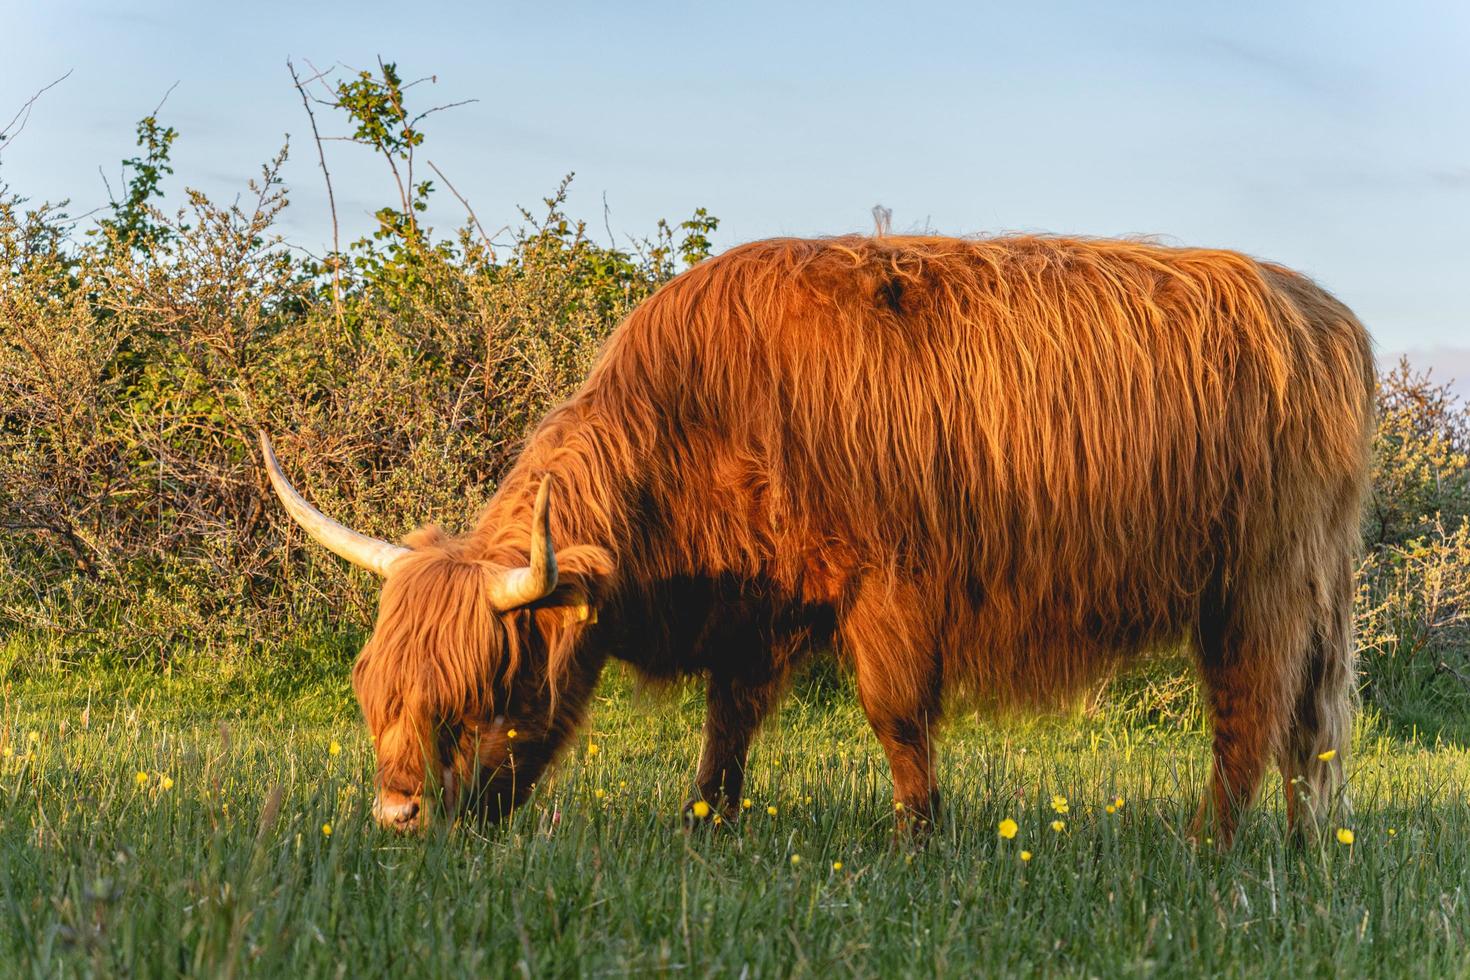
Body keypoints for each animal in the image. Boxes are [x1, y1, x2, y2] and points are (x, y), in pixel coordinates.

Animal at [258, 235, 1370, 846]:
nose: (398, 817)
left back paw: (1210, 847)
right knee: (1309, 727)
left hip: (1258, 581)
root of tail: (1320, 309)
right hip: (1311, 585)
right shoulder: (757, 605)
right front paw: (704, 825)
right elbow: (729, 723)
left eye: (489, 691)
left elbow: (896, 717)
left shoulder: (889, 583)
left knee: (1250, 715)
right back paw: (1304, 844)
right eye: (373, 692)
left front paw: (919, 839)